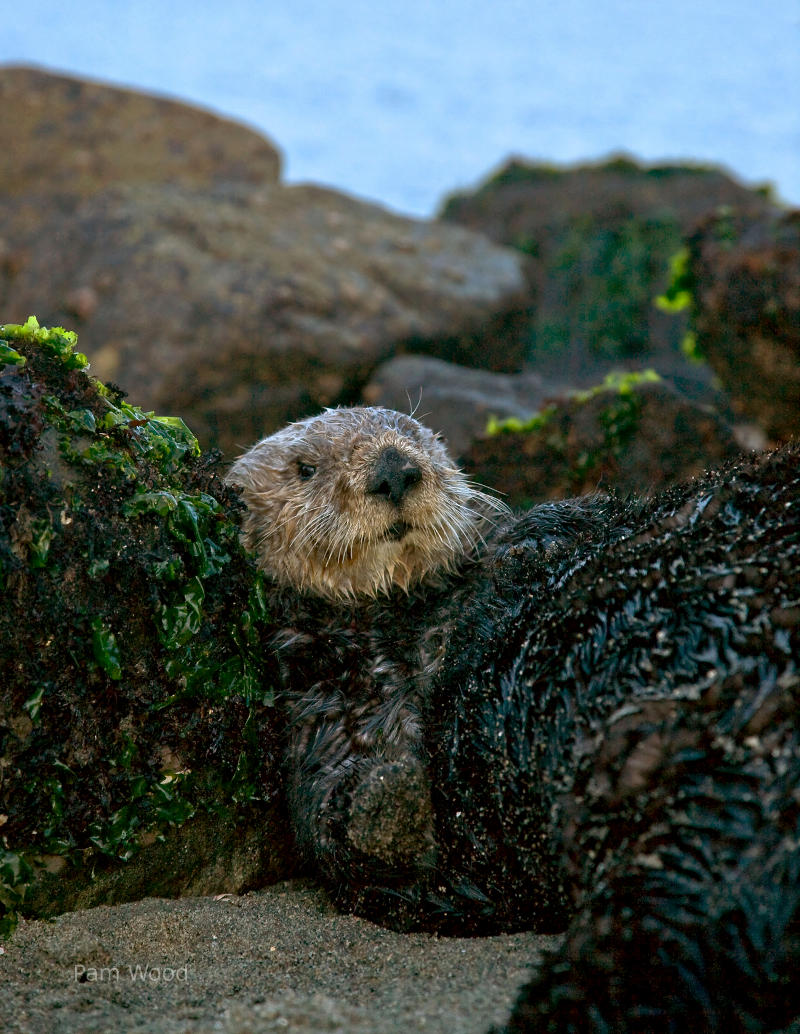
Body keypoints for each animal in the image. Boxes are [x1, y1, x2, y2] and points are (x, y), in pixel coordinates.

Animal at [227, 409, 800, 1034]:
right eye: (305, 469)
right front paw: (390, 790)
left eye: (414, 434)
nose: (394, 470)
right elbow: (352, 835)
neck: (411, 612)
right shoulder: (324, 705)